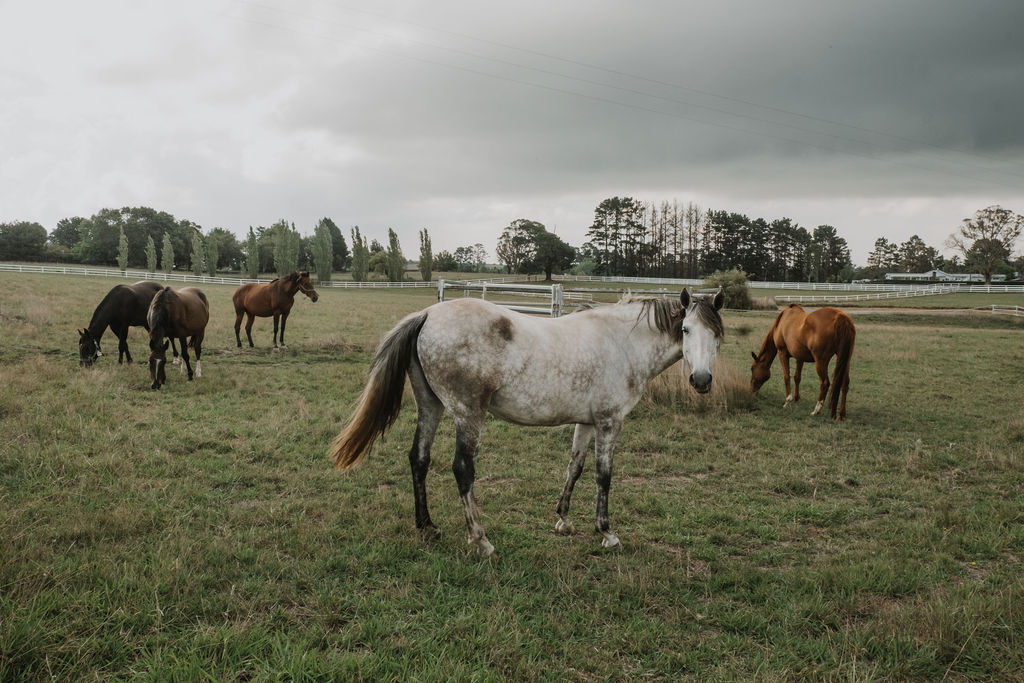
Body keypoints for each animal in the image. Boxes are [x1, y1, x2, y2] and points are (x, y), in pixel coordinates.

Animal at [330, 288, 725, 556]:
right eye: (686, 330)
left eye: (717, 336)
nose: (701, 380)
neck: (623, 343)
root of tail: (427, 314)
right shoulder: (610, 423)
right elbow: (604, 476)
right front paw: (606, 532)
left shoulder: (587, 422)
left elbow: (575, 467)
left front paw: (564, 520)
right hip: (468, 413)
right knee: (462, 469)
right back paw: (481, 539)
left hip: (431, 407)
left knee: (419, 459)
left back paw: (427, 526)